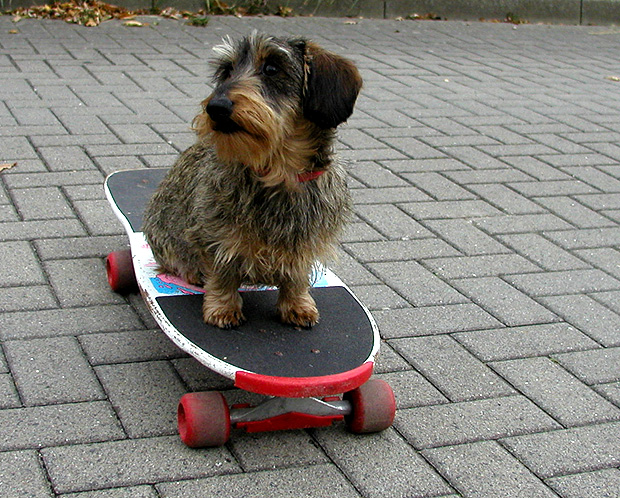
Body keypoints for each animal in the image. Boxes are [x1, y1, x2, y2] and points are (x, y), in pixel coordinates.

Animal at [142, 34, 360, 330]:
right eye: (227, 71)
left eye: (271, 68)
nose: (216, 107)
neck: (277, 174)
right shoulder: (216, 238)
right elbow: (222, 274)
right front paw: (222, 308)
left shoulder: (305, 245)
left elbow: (296, 278)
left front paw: (297, 305)